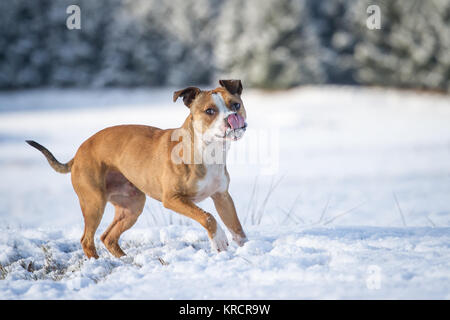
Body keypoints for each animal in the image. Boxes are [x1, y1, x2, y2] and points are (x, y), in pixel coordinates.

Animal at [27, 79, 250, 258]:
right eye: (210, 111)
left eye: (236, 105)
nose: (232, 118)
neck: (208, 150)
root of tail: (78, 153)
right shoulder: (173, 199)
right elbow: (208, 217)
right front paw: (219, 241)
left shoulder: (222, 197)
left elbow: (237, 227)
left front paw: (248, 249)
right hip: (94, 203)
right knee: (87, 240)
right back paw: (97, 262)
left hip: (132, 206)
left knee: (108, 237)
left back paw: (126, 262)